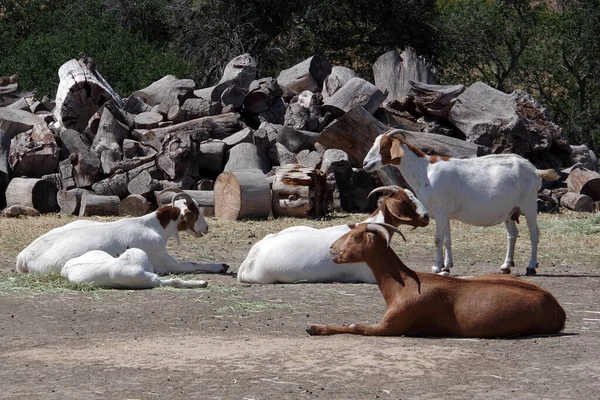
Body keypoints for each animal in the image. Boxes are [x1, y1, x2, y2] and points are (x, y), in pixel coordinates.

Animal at [308, 222, 564, 338]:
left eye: (354, 236)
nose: (332, 248)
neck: (404, 284)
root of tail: (558, 309)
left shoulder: (391, 325)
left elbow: (355, 326)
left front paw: (313, 327)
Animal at [360, 128, 564, 276]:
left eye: (384, 145)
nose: (365, 164)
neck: (424, 170)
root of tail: (535, 170)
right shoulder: (445, 215)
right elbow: (447, 240)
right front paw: (447, 266)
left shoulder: (440, 212)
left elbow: (437, 240)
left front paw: (436, 267)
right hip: (510, 211)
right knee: (513, 234)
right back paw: (506, 266)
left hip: (529, 205)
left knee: (534, 234)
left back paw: (531, 267)